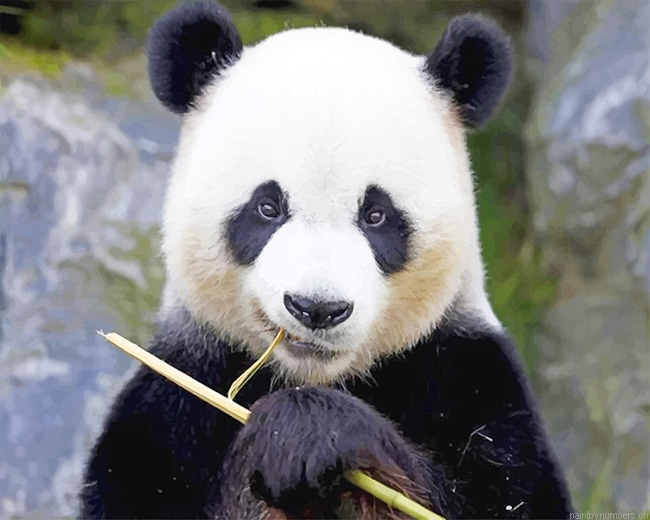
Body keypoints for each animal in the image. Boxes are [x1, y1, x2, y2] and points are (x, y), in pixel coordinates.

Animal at [79, 1, 574, 519]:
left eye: (376, 215)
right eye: (267, 207)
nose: (317, 308)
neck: (312, 376)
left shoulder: (469, 377)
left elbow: (499, 497)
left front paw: (305, 434)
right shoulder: (173, 402)